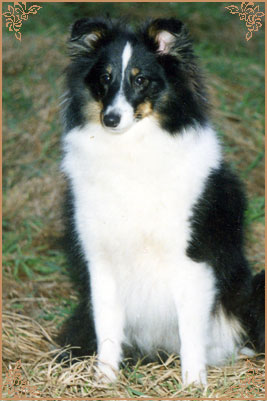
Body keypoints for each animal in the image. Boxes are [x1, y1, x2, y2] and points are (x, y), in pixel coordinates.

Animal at [57, 18, 264, 384]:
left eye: (141, 79)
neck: (131, 151)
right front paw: (104, 379)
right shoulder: (101, 261)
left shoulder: (192, 261)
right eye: (105, 77)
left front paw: (194, 383)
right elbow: (107, 326)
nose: (111, 119)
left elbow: (191, 331)